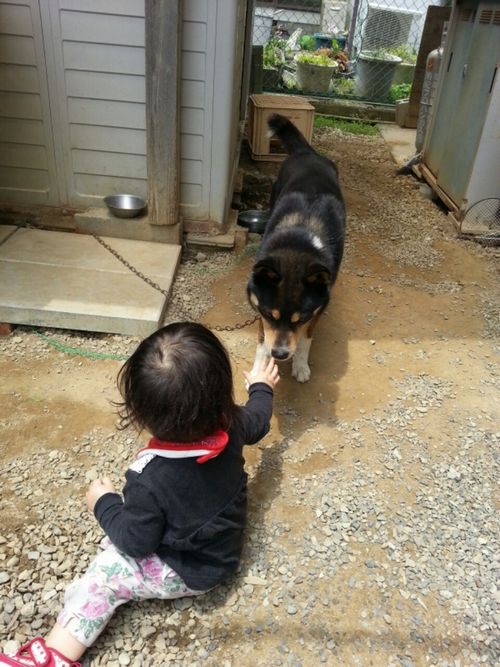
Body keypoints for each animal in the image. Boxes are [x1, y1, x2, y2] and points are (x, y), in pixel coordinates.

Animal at [245, 113, 344, 384]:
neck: (299, 241)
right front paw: (259, 369)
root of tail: (307, 152)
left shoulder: (317, 309)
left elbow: (305, 340)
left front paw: (300, 365)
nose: (279, 354)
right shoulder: (261, 309)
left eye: (301, 319)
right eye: (271, 316)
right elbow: (262, 341)